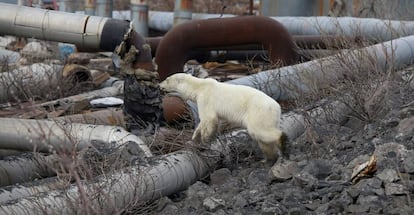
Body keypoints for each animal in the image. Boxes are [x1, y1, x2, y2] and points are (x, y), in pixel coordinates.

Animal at [159, 73, 288, 162]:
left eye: (167, 79)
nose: (159, 85)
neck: (199, 87)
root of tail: (277, 107)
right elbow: (207, 122)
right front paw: (194, 137)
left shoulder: (206, 98)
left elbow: (209, 118)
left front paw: (204, 141)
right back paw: (268, 158)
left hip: (258, 112)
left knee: (259, 130)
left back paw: (281, 142)